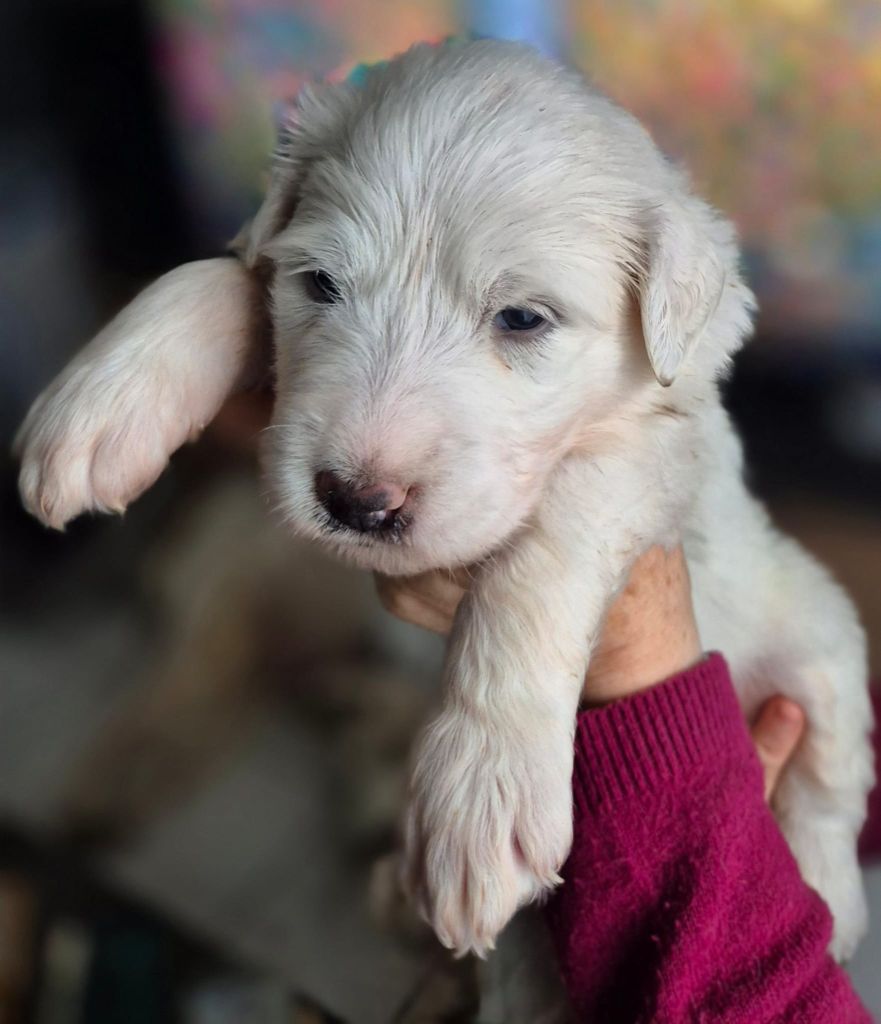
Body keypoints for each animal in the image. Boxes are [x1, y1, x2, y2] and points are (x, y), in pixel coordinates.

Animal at [13, 39, 872, 962]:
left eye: (523, 318)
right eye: (321, 284)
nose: (355, 503)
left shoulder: (662, 450)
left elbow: (550, 537)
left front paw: (481, 791)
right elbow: (228, 275)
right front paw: (96, 408)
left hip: (807, 623)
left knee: (828, 756)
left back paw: (824, 891)